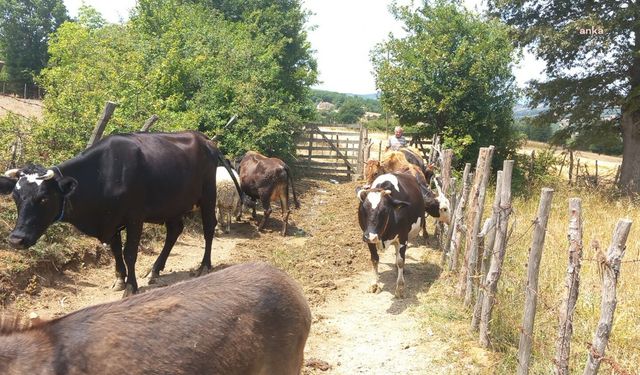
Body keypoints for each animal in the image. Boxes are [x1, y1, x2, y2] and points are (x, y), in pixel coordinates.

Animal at [0, 131, 240, 298]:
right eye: (16, 197)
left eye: (44, 198)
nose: (16, 239)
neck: (103, 174)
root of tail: (204, 139)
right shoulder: (110, 220)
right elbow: (115, 251)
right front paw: (120, 279)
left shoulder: (135, 217)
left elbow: (129, 252)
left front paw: (131, 286)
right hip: (173, 203)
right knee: (174, 231)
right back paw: (155, 270)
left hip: (208, 195)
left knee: (209, 227)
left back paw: (204, 266)